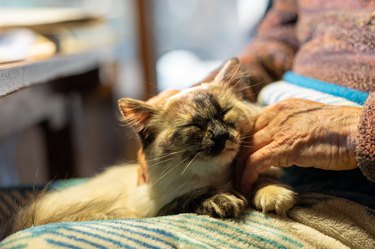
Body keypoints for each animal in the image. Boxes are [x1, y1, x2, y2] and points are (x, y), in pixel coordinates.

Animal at [9, 57, 296, 236]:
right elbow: (194, 196)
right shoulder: (158, 208)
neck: (218, 176)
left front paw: (274, 196)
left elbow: (263, 180)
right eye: (195, 126)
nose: (221, 136)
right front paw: (223, 200)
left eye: (224, 114)